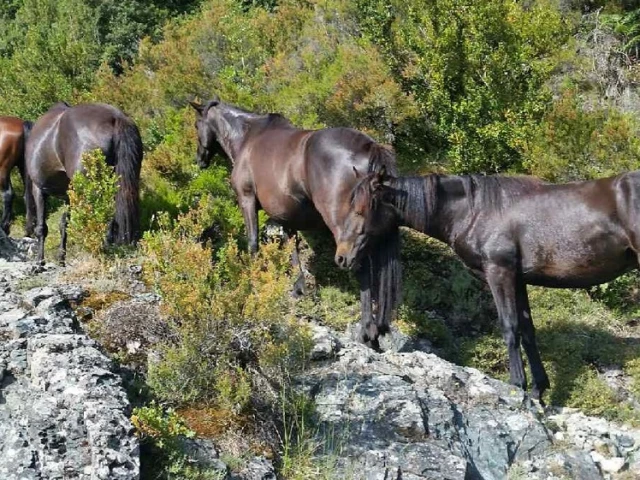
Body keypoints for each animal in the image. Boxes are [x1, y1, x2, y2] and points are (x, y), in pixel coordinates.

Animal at [25, 102, 143, 264]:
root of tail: (116, 117)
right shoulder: (68, 195)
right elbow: (64, 224)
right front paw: (61, 257)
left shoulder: (39, 189)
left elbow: (42, 227)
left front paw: (39, 262)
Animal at [189, 97, 402, 349]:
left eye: (196, 125)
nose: (199, 160)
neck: (248, 137)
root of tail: (368, 147)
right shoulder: (286, 215)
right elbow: (292, 249)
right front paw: (297, 288)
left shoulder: (246, 199)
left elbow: (253, 243)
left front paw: (253, 280)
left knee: (358, 265)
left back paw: (366, 331)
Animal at [343, 166, 640, 403]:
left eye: (361, 210)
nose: (343, 257)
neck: (475, 211)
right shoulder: (518, 280)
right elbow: (527, 331)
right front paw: (538, 391)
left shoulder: (500, 272)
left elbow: (510, 327)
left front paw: (518, 386)